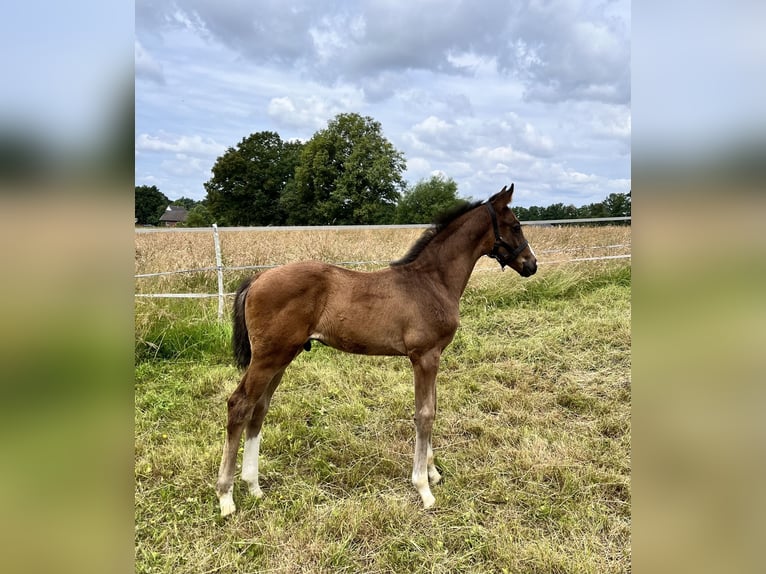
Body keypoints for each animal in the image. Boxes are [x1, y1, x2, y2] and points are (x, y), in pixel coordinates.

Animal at [216, 184, 540, 516]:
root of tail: (258, 277)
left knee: (259, 408)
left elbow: (431, 408)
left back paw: (254, 486)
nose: (531, 264)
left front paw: (433, 473)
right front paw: (423, 488)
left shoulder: (432, 356)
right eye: (516, 225)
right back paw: (226, 496)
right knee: (239, 404)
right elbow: (425, 413)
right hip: (268, 358)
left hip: (281, 358)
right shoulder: (425, 356)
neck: (431, 281)